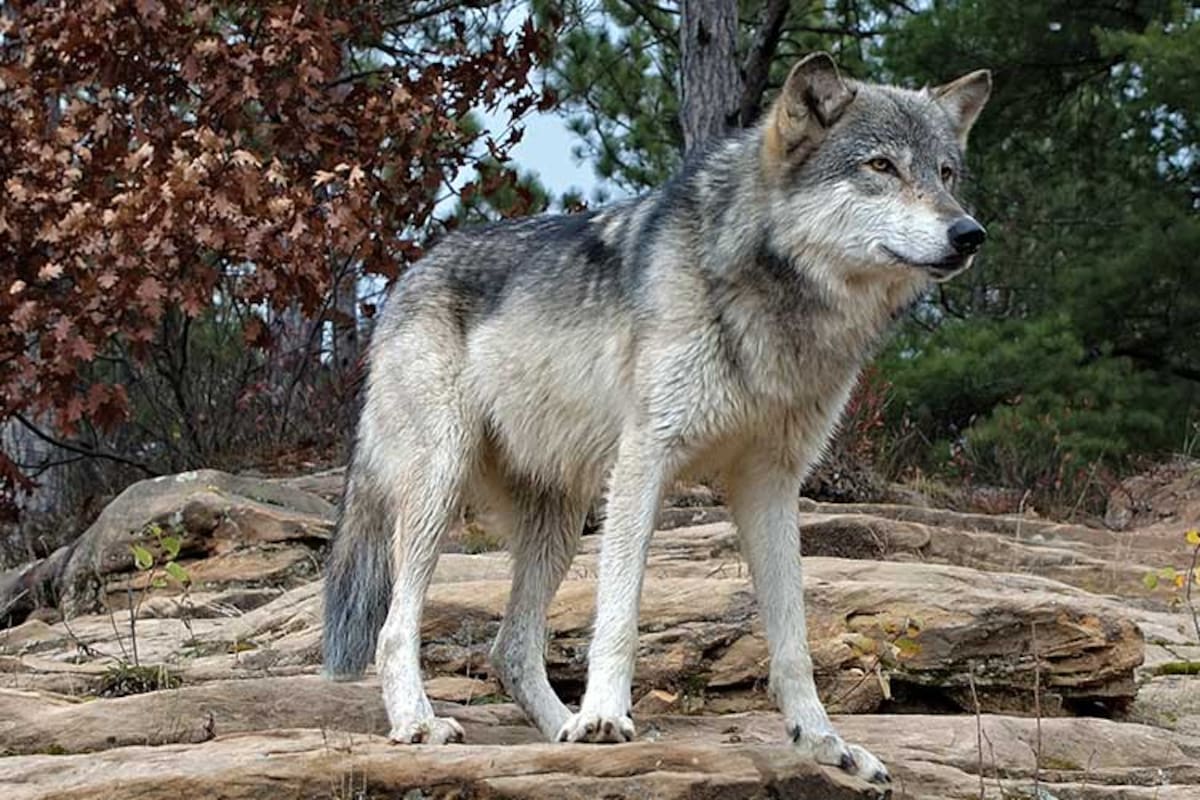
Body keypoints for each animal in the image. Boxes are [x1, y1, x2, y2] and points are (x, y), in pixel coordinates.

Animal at [322, 52, 990, 785]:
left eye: (946, 173)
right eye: (881, 166)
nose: (969, 233)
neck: (773, 299)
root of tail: (407, 277)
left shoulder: (771, 484)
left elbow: (792, 639)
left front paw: (823, 743)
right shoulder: (646, 458)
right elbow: (620, 611)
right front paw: (606, 719)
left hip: (561, 523)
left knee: (511, 648)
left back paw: (560, 732)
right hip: (442, 488)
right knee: (396, 626)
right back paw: (423, 723)